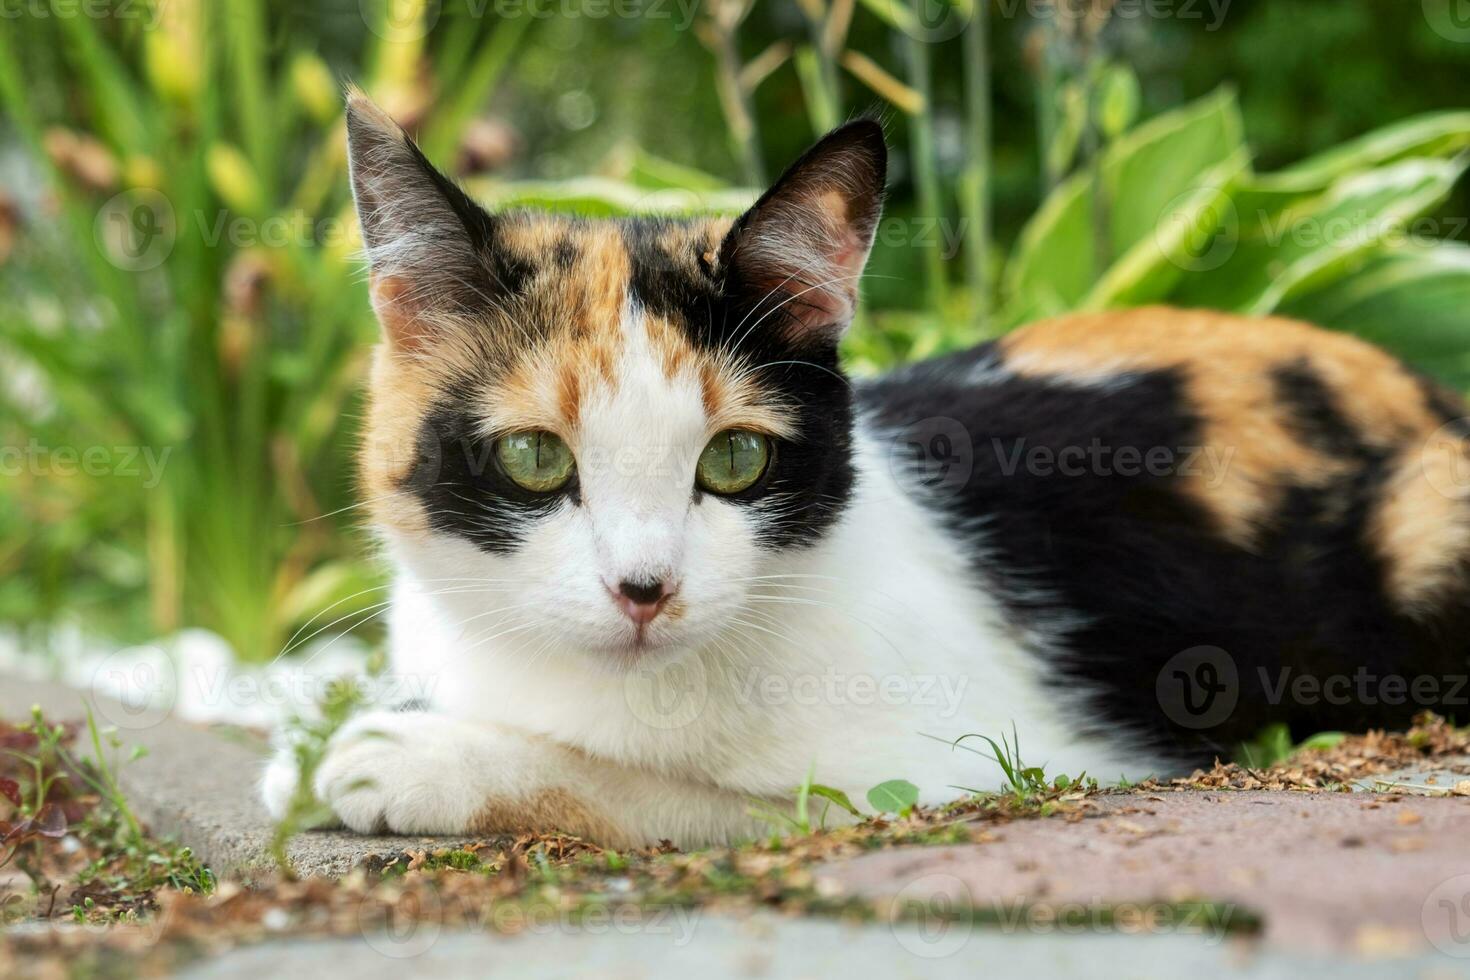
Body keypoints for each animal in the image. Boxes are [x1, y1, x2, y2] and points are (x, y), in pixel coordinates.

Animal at [261, 88, 1470, 846]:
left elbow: (662, 787)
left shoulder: (972, 767)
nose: (645, 589)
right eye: (531, 455)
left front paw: (403, 757)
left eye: (736, 457)